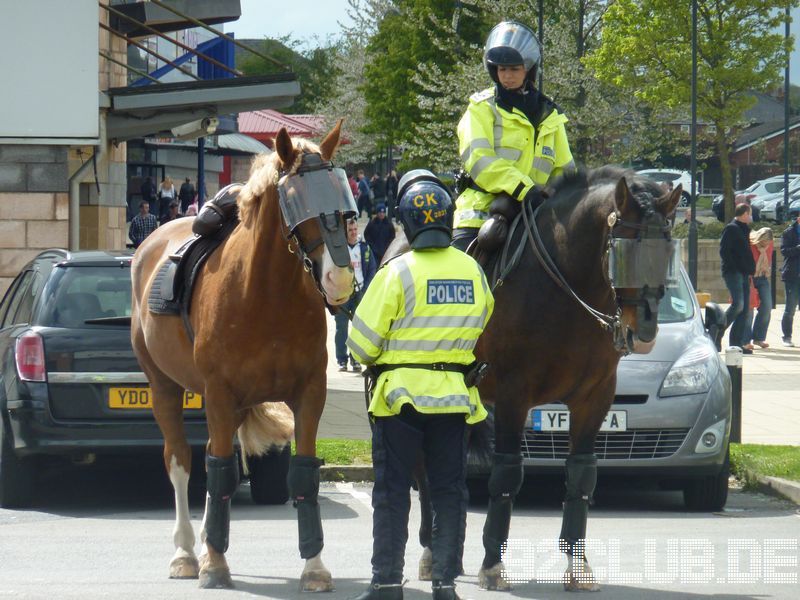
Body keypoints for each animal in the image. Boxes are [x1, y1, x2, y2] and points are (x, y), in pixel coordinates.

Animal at [130, 123, 354, 592]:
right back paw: (186, 551)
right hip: (164, 387)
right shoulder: (218, 393)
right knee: (181, 460)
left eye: (340, 196)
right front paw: (215, 563)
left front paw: (314, 566)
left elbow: (303, 473)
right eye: (297, 199)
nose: (339, 277)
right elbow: (218, 470)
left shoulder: (310, 393)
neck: (267, 294)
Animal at [396, 166, 680, 592]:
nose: (642, 332)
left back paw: (451, 555)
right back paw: (432, 553)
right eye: (620, 252)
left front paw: (578, 566)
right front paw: (493, 565)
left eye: (666, 251)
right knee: (424, 471)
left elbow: (581, 475)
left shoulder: (595, 397)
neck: (567, 289)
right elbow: (507, 473)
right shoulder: (514, 394)